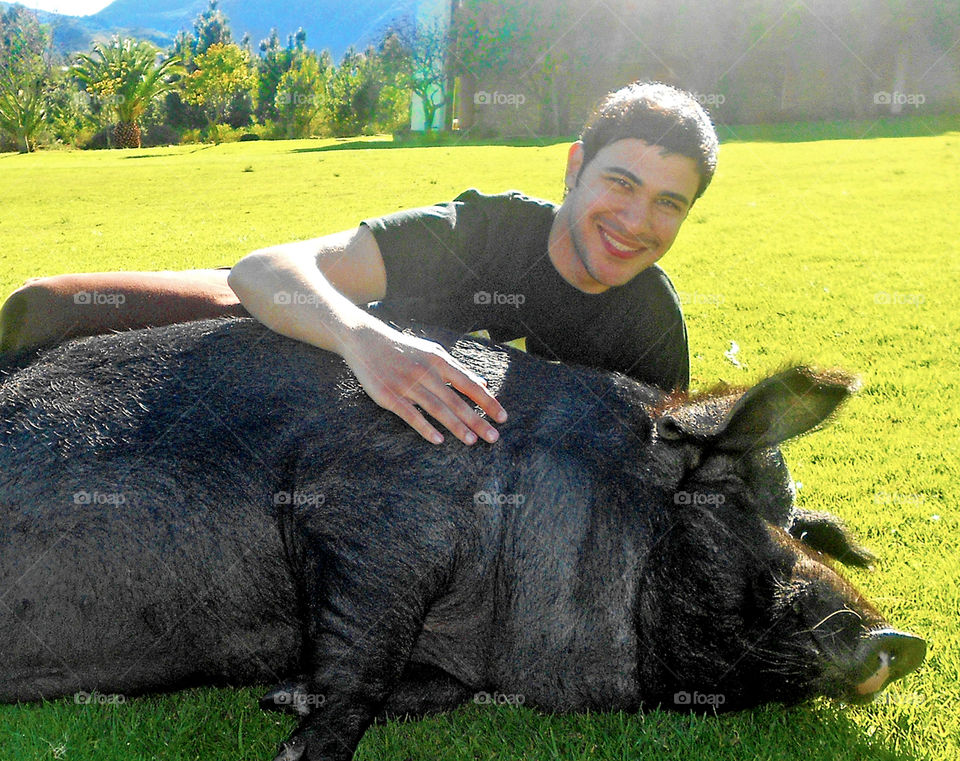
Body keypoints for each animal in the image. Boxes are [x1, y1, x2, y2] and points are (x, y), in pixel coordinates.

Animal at [0, 317, 926, 761]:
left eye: (801, 524)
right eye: (726, 497)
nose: (905, 636)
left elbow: (422, 685)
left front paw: (281, 697)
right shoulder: (363, 499)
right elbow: (365, 662)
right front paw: (300, 746)